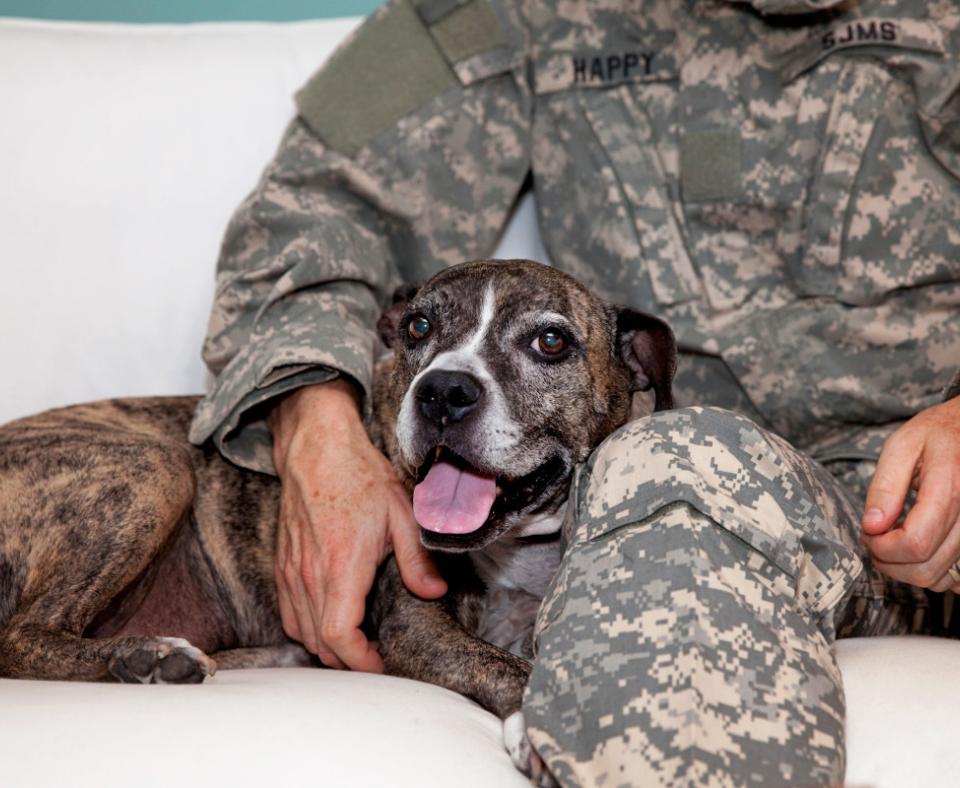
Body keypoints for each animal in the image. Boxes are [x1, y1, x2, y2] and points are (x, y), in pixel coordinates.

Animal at [0, 260, 676, 780]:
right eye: (419, 326)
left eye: (551, 342)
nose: (443, 391)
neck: (519, 551)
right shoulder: (417, 627)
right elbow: (506, 668)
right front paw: (540, 729)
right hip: (153, 465)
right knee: (22, 637)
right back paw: (141, 658)